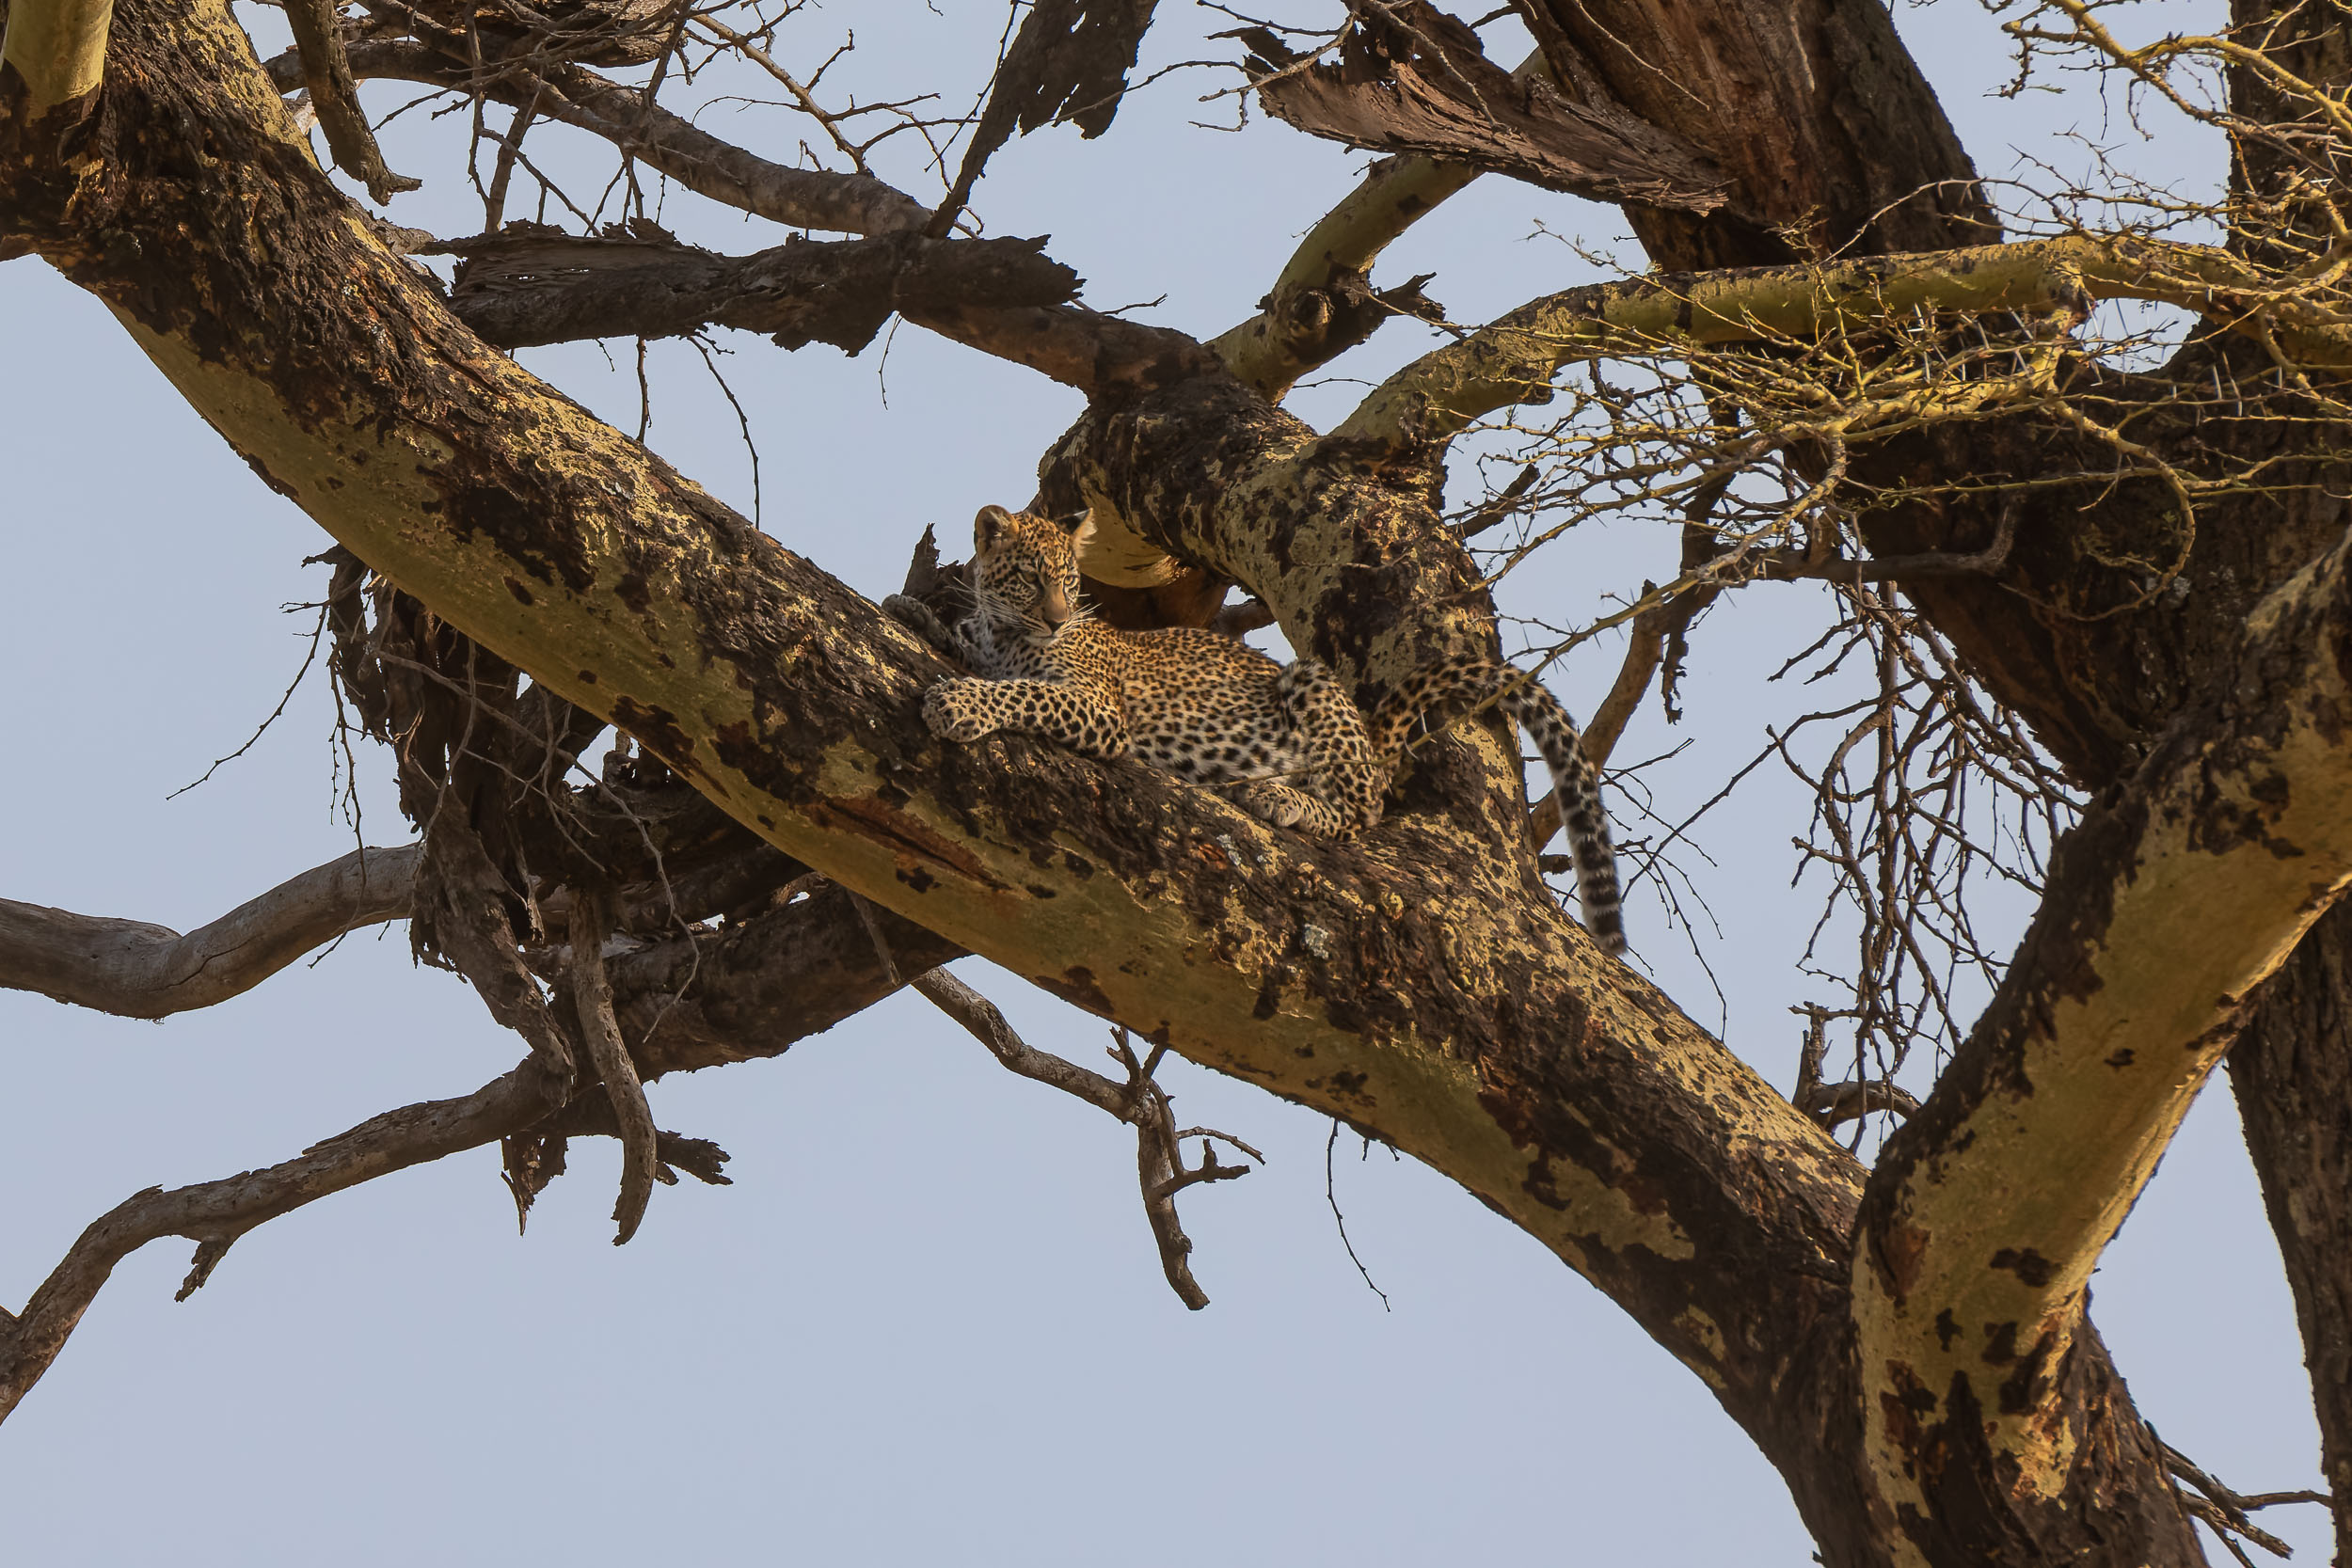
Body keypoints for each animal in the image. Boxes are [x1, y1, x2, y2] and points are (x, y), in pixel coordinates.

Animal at [884, 505, 1625, 954]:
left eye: (1069, 580)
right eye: (1030, 578)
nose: (1059, 618)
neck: (1007, 634)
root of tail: (1374, 733)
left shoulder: (1099, 707)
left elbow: (1024, 693)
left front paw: (959, 702)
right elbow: (965, 644)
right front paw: (913, 612)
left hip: (1310, 683)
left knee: (1359, 808)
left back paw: (1279, 796)